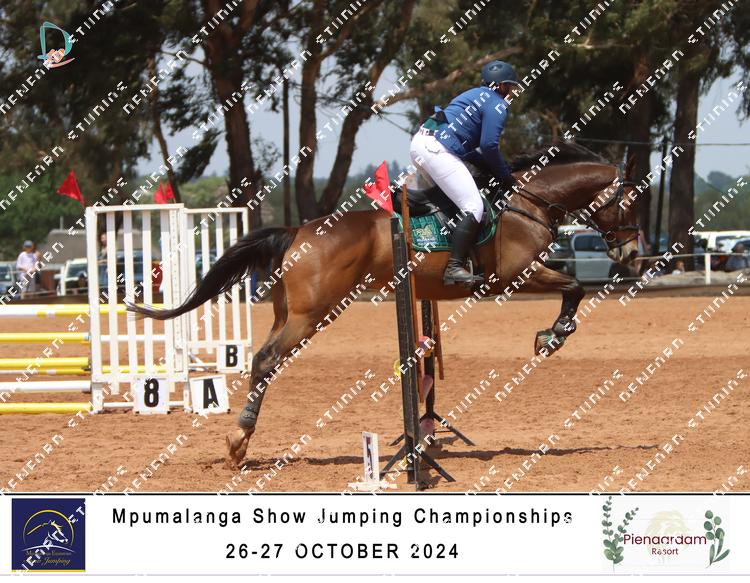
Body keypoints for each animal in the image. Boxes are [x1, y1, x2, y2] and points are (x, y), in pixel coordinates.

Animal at [128, 142, 641, 467]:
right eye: (631, 204)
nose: (633, 255)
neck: (528, 200)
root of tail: (297, 230)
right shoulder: (517, 274)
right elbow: (575, 287)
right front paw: (552, 336)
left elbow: (573, 287)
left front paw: (552, 334)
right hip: (312, 315)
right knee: (269, 360)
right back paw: (239, 439)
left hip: (290, 313)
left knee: (259, 361)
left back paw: (239, 440)